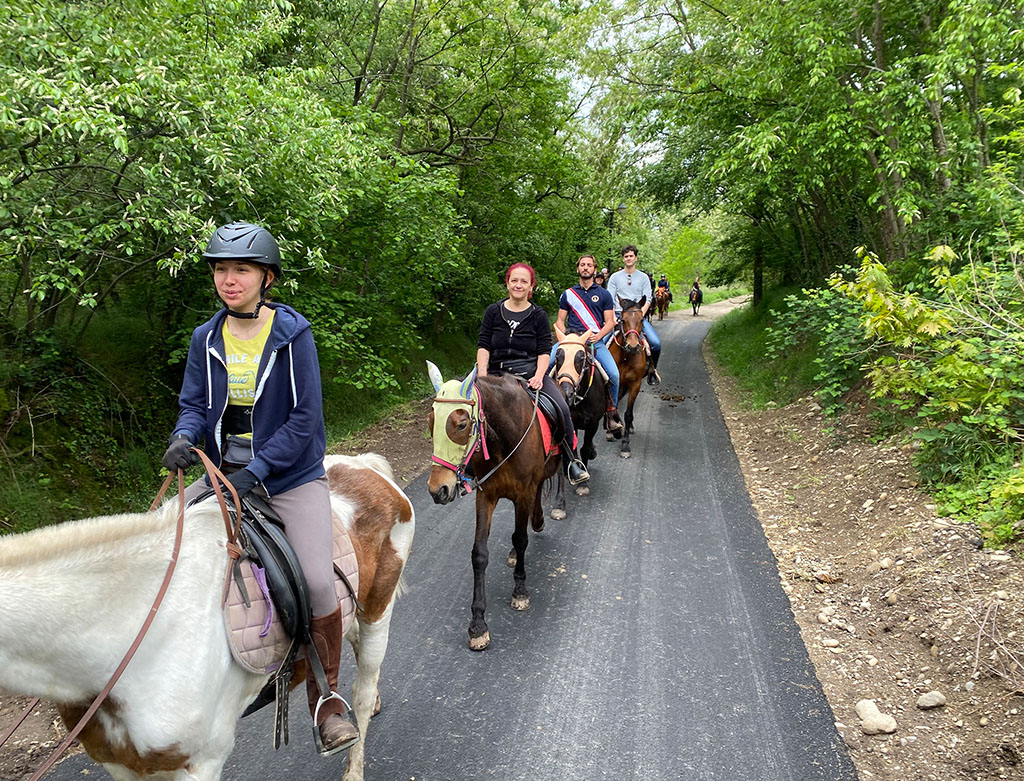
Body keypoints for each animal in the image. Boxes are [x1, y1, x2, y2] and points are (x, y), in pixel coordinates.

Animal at [428, 366, 565, 655]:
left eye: (461, 424)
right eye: (430, 423)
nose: (438, 490)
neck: (504, 439)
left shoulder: (523, 493)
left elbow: (521, 539)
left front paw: (520, 591)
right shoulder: (486, 495)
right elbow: (479, 554)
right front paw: (478, 625)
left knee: (559, 472)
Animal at [552, 335, 606, 519]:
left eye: (581, 358)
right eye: (558, 357)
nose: (565, 392)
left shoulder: (593, 423)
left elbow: (585, 449)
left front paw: (584, 484)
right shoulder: (568, 424)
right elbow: (569, 452)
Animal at [606, 296, 647, 458]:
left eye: (642, 319)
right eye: (622, 320)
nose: (633, 346)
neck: (626, 357)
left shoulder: (635, 384)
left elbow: (628, 414)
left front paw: (625, 445)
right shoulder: (614, 382)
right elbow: (613, 405)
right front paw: (611, 431)